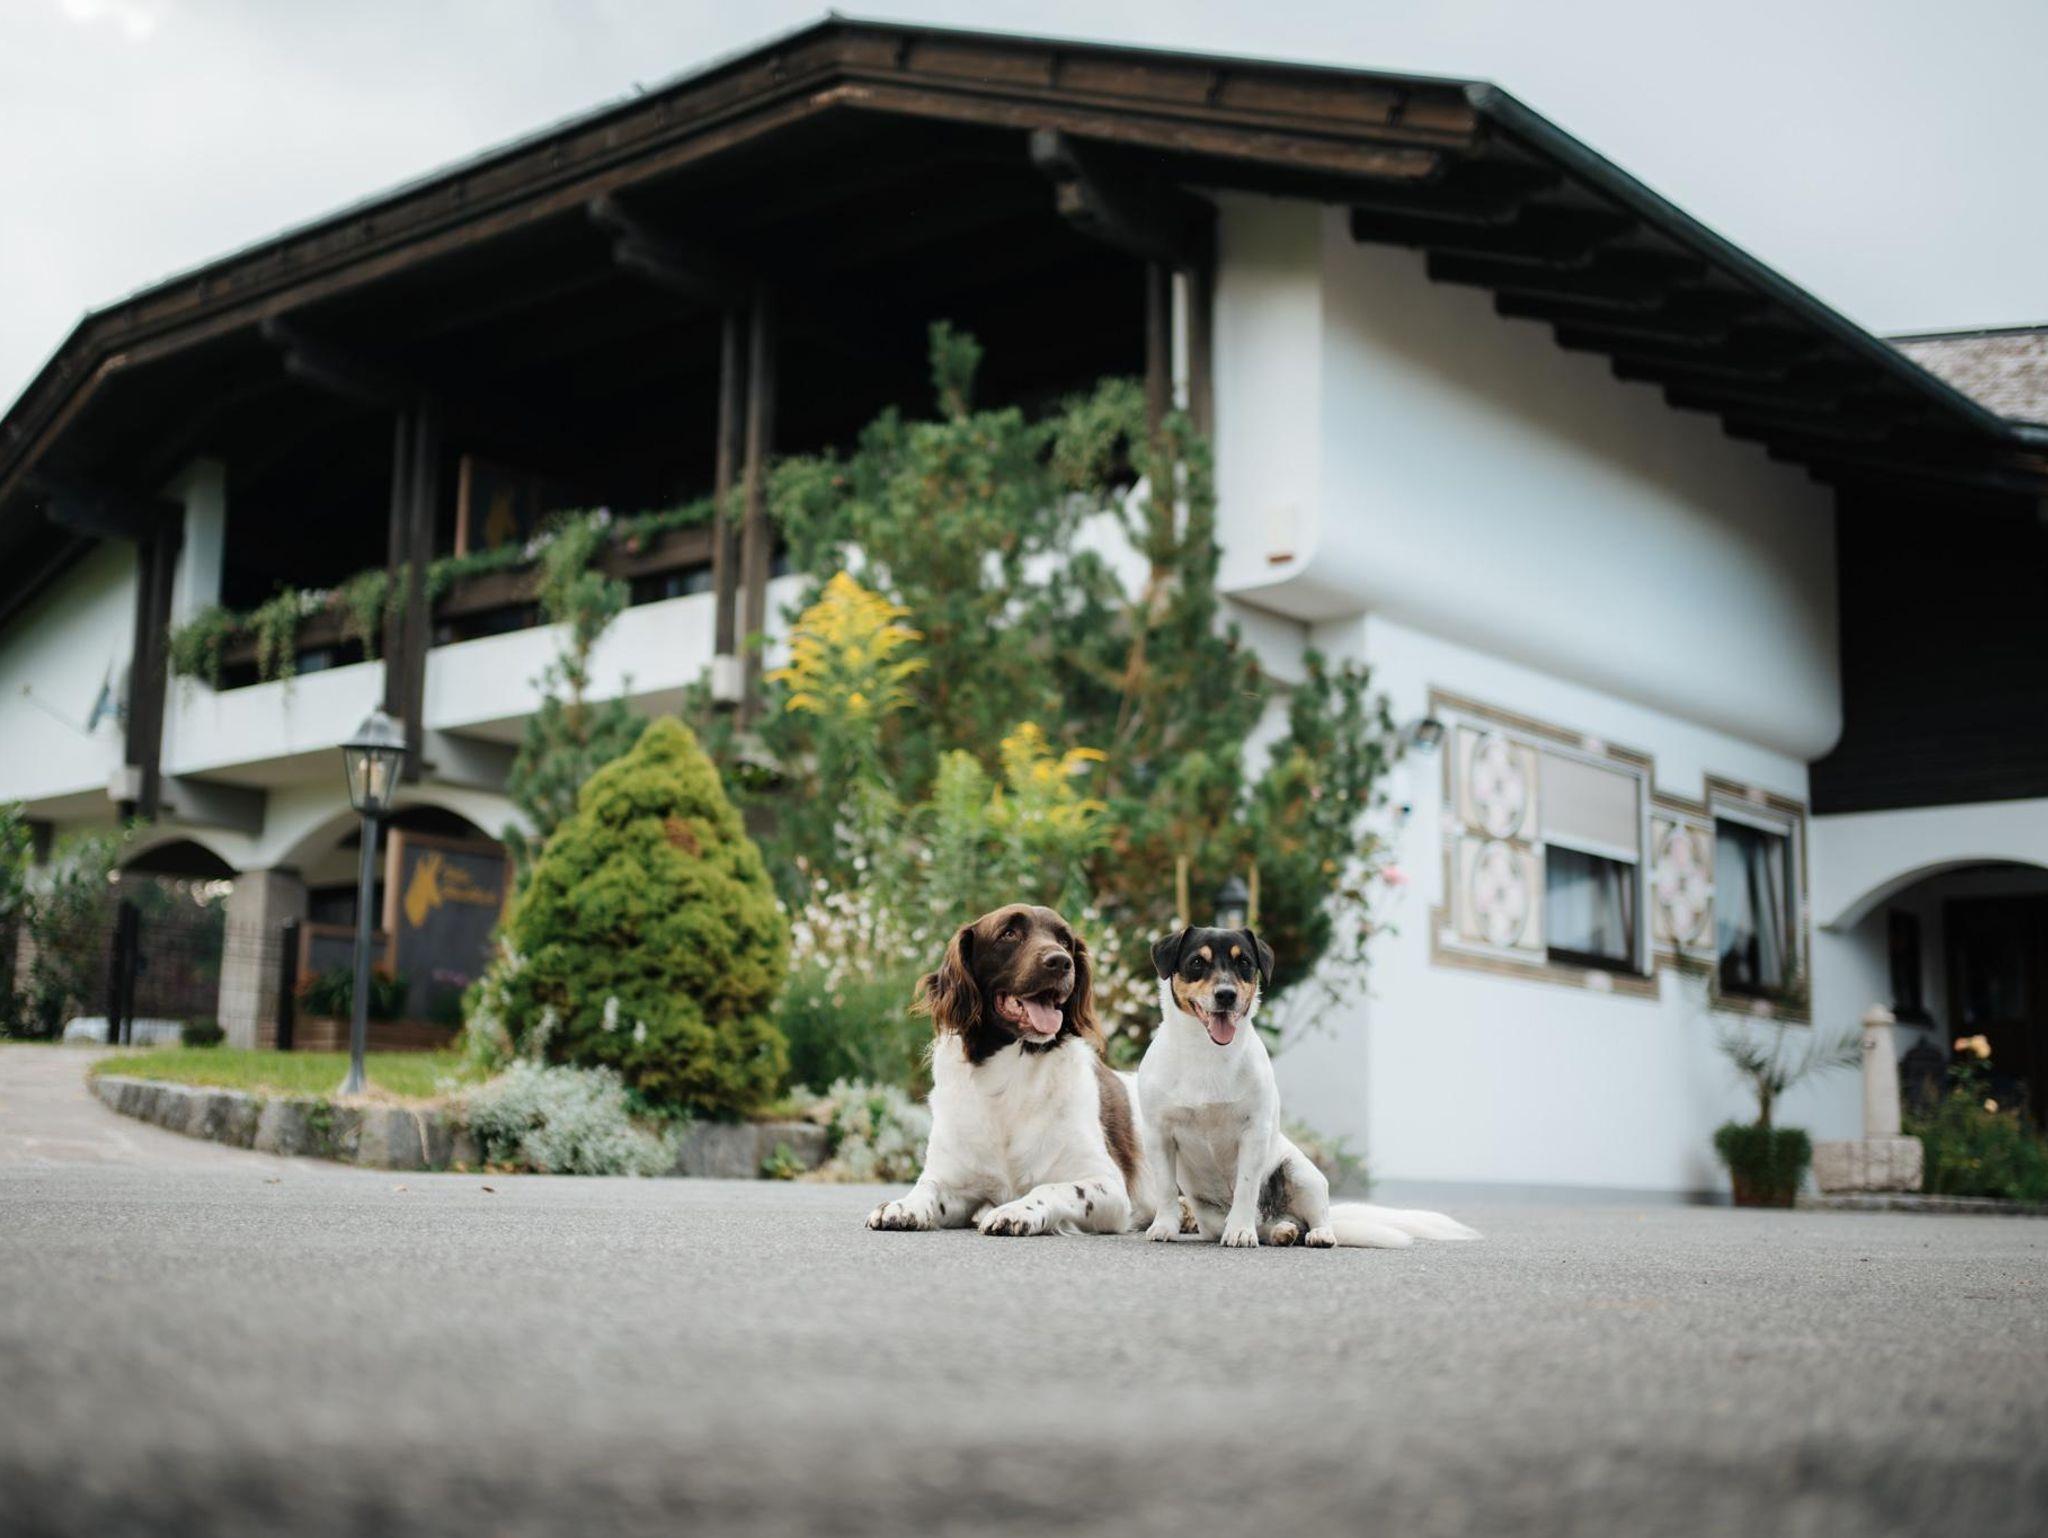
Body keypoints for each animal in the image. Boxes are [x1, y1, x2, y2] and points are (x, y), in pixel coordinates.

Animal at [866, 904, 1145, 1238]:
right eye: (1009, 933)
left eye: (1065, 941)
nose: (1061, 962)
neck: (1008, 1079)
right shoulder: (954, 1180)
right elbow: (927, 1187)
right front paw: (902, 1205)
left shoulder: (1108, 1186)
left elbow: (1050, 1188)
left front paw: (1016, 1211)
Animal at [1135, 925, 1480, 1249]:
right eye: (1197, 962)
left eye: (1244, 963)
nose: (1226, 995)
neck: (1208, 1055)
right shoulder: (1158, 1134)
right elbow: (1166, 1189)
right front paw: (1164, 1227)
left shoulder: (1254, 1132)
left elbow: (1246, 1188)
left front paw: (1240, 1231)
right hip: (1213, 1215)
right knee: (1270, 1227)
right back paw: (1280, 1231)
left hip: (1302, 1174)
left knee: (1314, 1219)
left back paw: (1313, 1234)